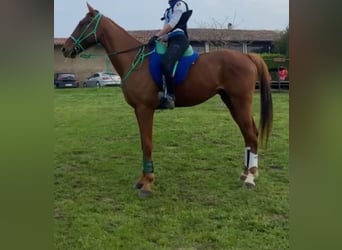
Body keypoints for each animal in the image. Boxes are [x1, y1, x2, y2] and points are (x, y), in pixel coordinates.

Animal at [61, 2, 272, 197]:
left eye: (83, 23)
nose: (65, 48)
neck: (135, 60)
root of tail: (247, 56)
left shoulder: (145, 109)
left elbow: (147, 144)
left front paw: (147, 183)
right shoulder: (138, 110)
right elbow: (143, 143)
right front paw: (142, 180)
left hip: (240, 102)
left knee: (251, 135)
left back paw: (250, 178)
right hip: (231, 102)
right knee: (248, 134)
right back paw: (246, 173)